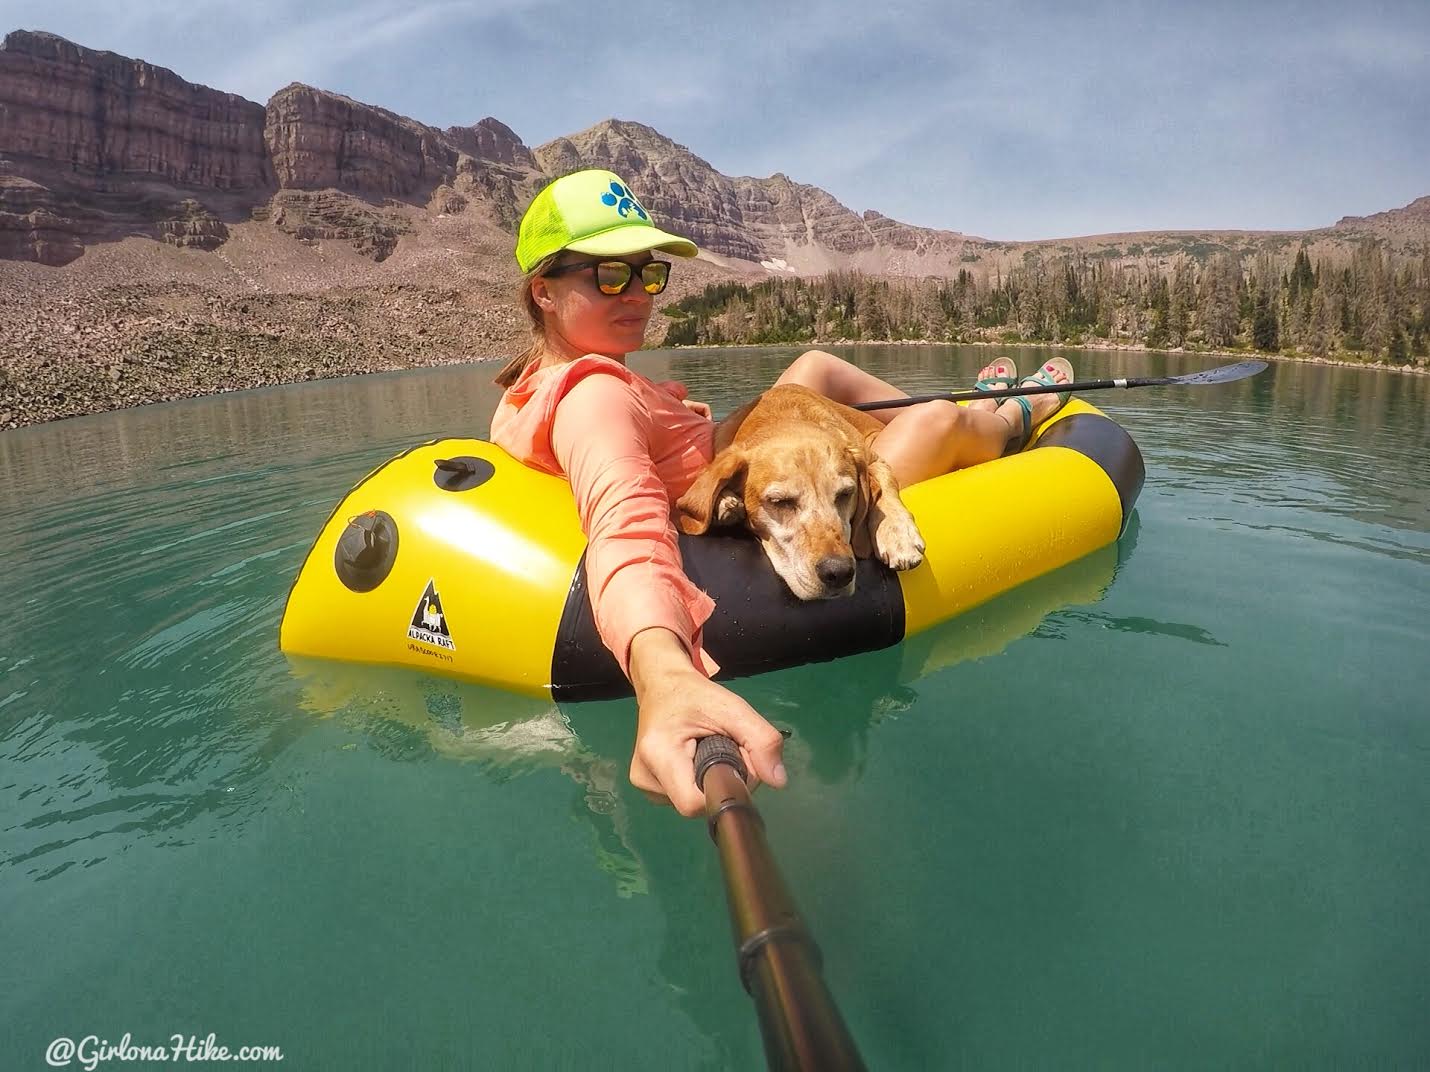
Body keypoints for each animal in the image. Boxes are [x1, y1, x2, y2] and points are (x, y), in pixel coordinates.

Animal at [672, 383, 920, 606]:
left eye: (846, 494)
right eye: (779, 501)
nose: (839, 572)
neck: (785, 416)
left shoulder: (873, 459)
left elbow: (886, 484)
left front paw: (899, 534)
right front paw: (724, 503)